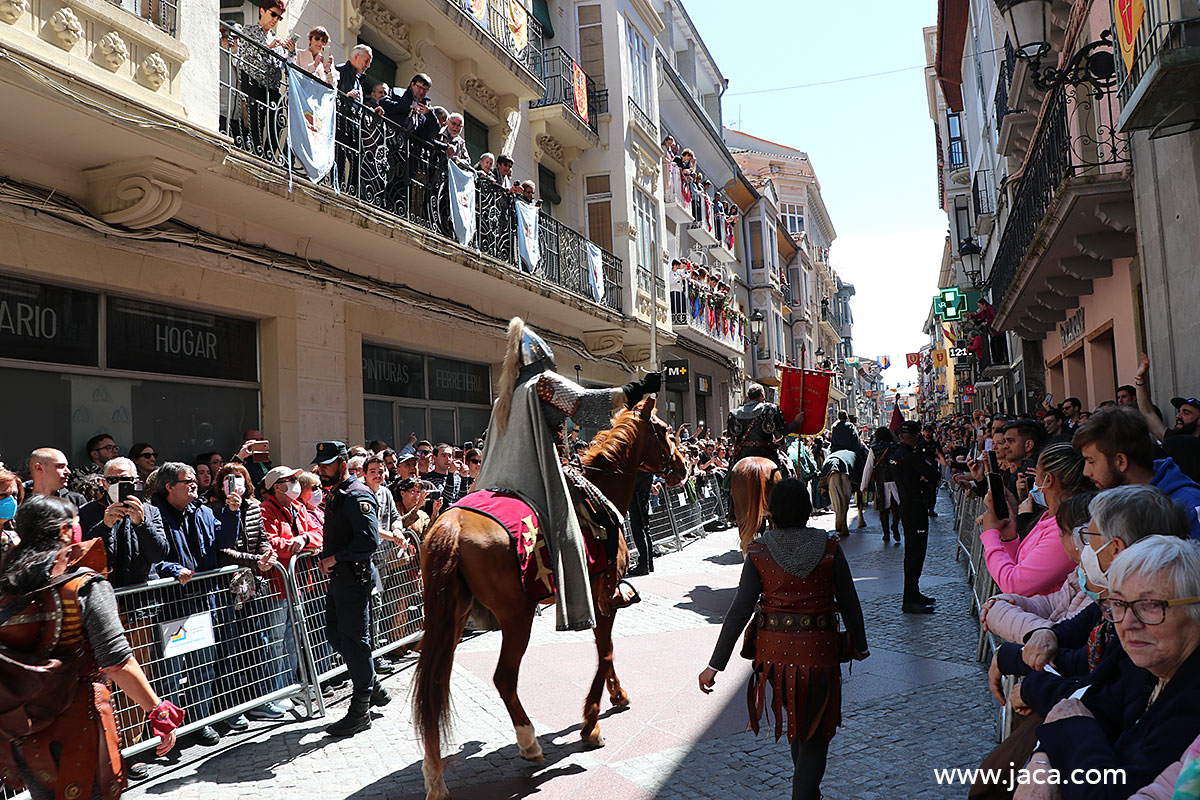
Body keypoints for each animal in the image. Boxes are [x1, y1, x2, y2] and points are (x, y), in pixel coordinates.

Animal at [417, 398, 691, 796]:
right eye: (666, 431)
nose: (684, 467)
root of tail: (452, 524)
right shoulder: (602, 597)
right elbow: (604, 652)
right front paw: (591, 726)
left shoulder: (592, 598)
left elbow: (606, 651)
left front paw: (617, 696)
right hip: (516, 617)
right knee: (503, 678)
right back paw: (529, 742)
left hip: (451, 617)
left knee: (434, 685)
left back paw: (435, 775)